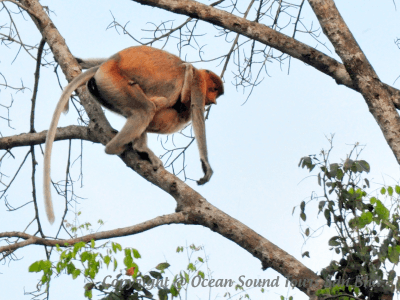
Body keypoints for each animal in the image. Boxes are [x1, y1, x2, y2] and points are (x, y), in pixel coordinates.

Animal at [45, 44, 225, 223]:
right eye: (214, 89)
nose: (214, 101)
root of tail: (110, 63)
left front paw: (79, 60)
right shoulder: (197, 81)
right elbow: (196, 110)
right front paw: (206, 167)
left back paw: (139, 148)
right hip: (114, 82)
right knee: (147, 110)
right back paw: (116, 147)